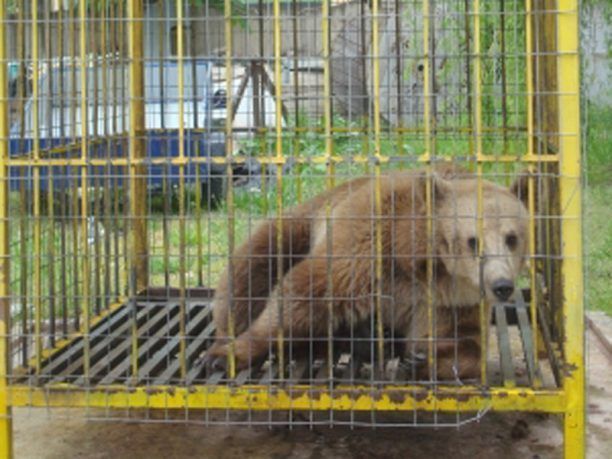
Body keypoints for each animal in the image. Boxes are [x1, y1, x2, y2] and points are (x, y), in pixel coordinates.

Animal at [208, 166, 528, 380]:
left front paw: (421, 359)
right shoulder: (370, 244)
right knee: (248, 272)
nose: (501, 285)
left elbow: (464, 342)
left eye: (512, 238)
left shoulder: (447, 301)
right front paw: (227, 355)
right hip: (299, 226)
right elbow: (306, 293)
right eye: (474, 241)